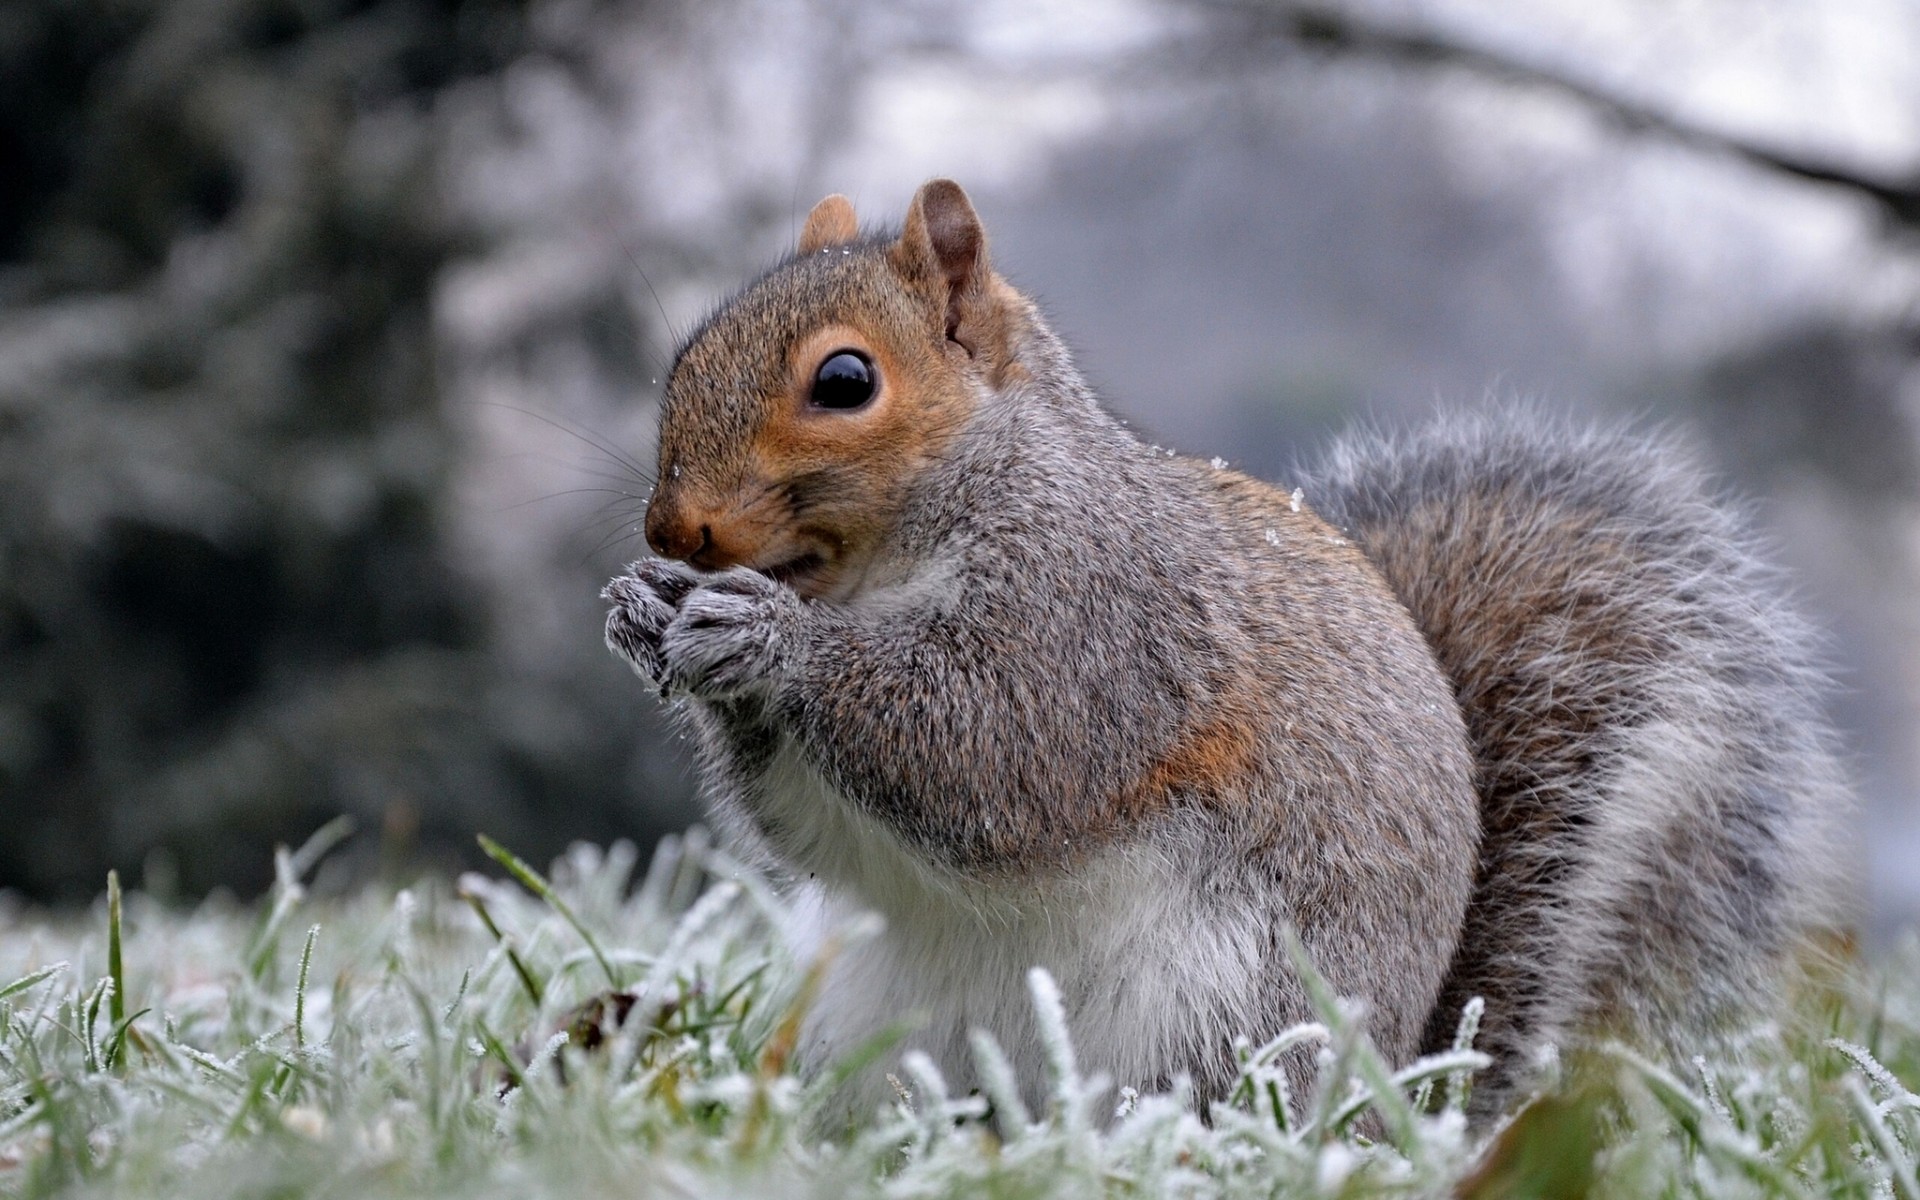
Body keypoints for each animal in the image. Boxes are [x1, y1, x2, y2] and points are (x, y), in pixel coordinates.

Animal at [601, 179, 1851, 1122]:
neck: (881, 569)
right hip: (872, 1019)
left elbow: (991, 748)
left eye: (846, 380)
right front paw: (643, 607)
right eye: (686, 355)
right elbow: (810, 829)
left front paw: (767, 641)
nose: (674, 531)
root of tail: (1390, 1103)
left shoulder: (1102, 622)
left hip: (1223, 1019)